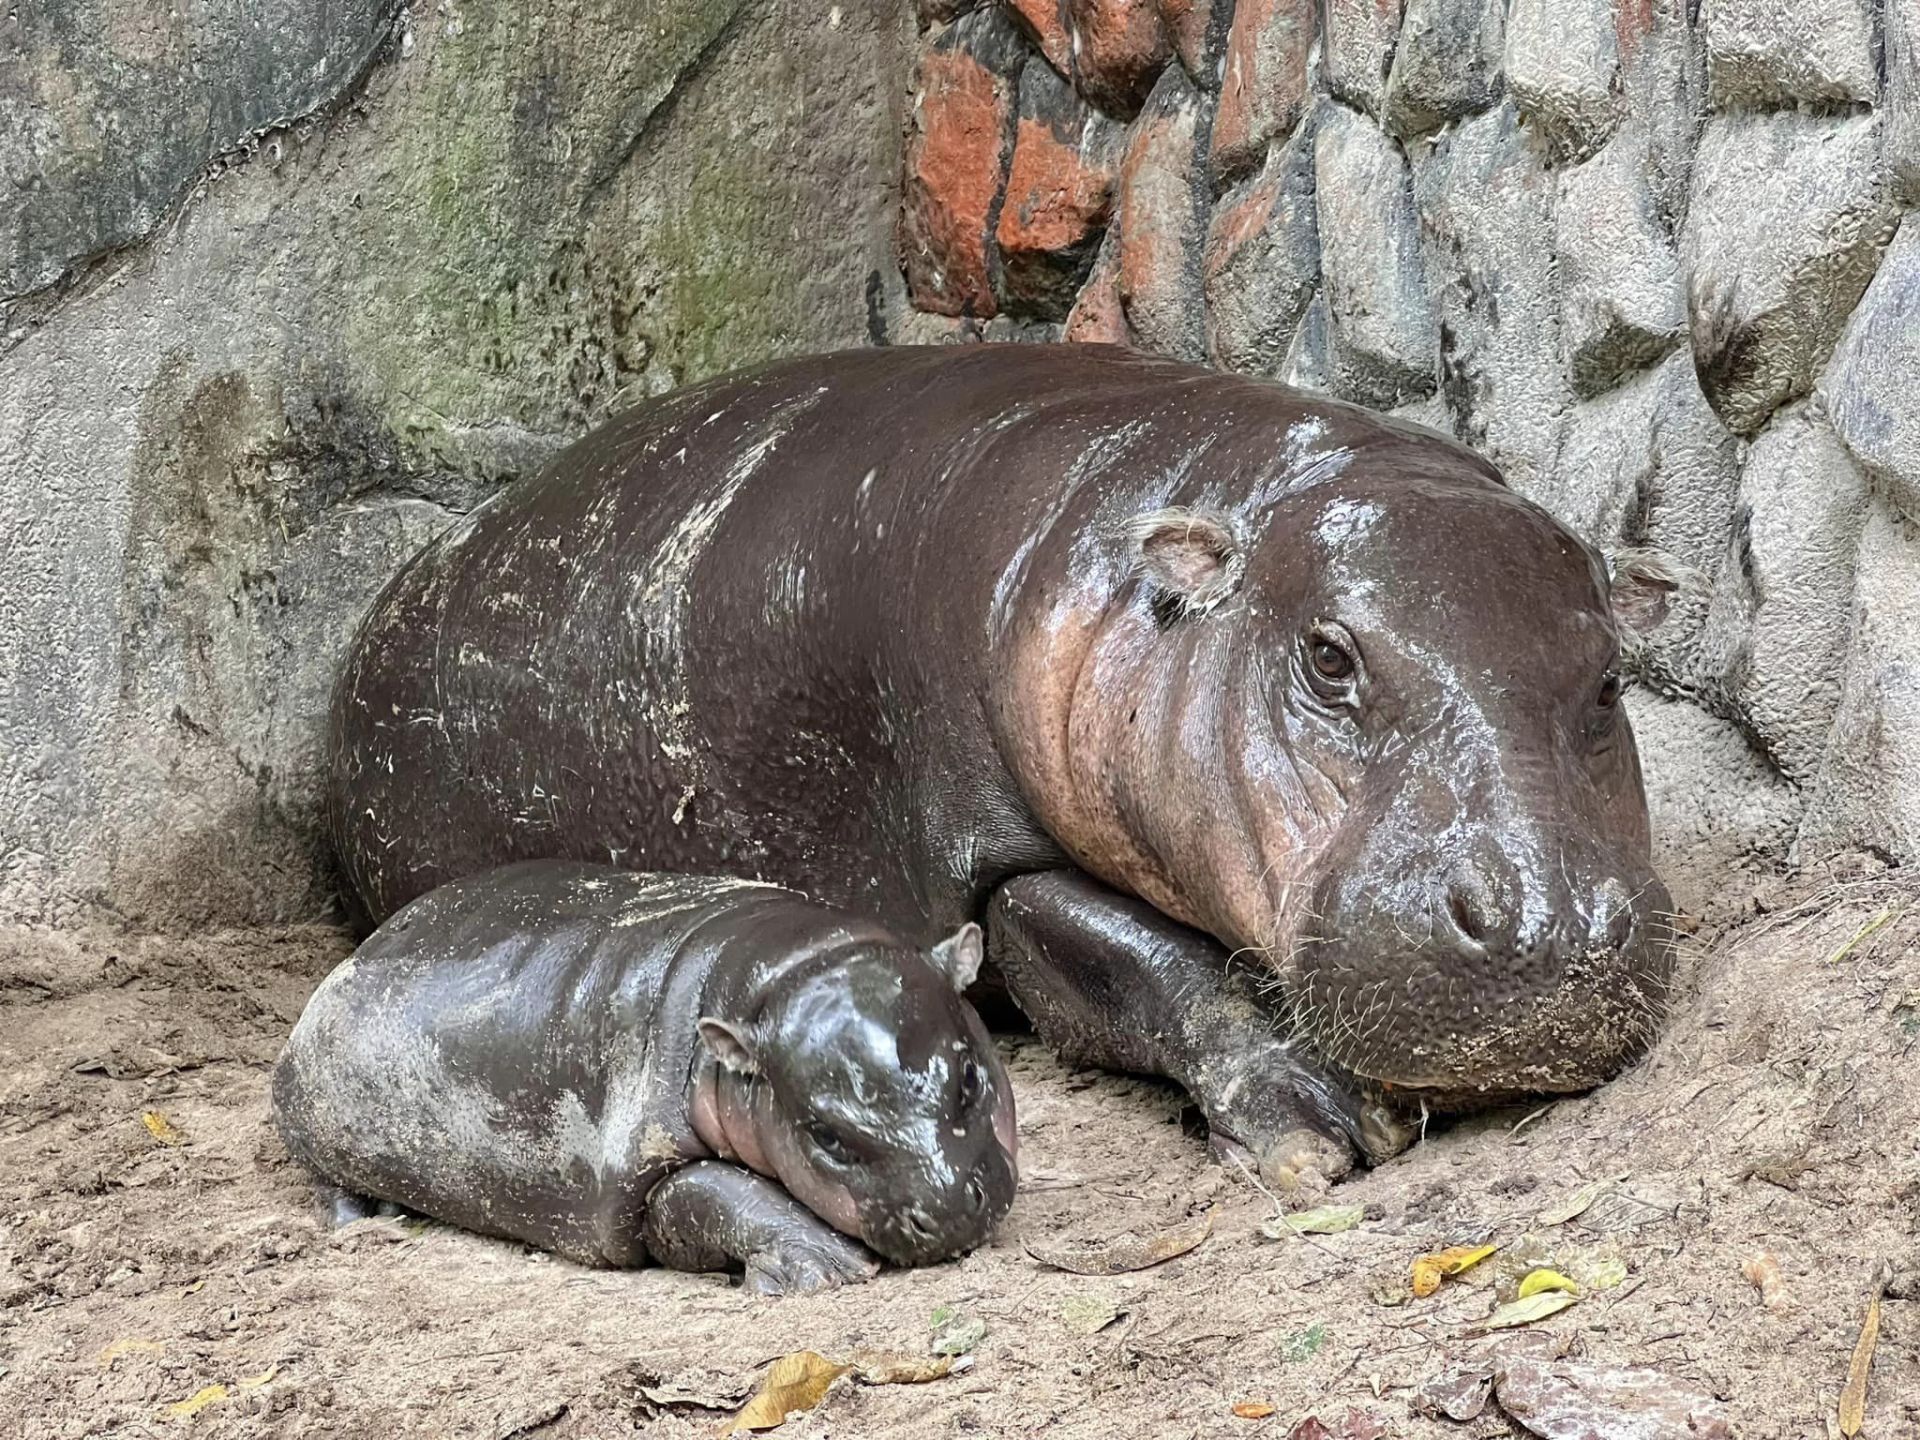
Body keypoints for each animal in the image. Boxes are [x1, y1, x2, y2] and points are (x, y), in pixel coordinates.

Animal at [274, 856, 1021, 1297]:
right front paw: (826, 1268)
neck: (777, 975)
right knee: (328, 1181)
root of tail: (357, 953)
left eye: (968, 1078)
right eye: (827, 1137)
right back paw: (374, 1221)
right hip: (315, 1120)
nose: (947, 1206)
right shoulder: (635, 1166)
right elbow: (706, 1193)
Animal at [330, 347, 1681, 1182]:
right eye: (1330, 657)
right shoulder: (990, 853)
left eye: (1609, 676)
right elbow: (1147, 964)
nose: (1551, 921)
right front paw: (1319, 1130)